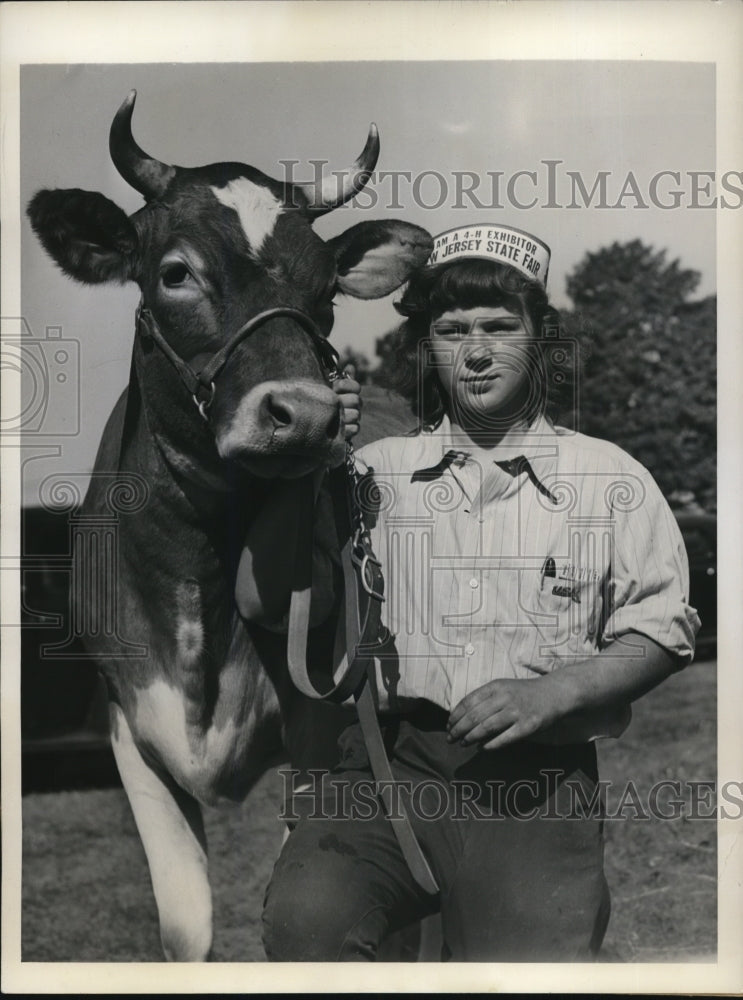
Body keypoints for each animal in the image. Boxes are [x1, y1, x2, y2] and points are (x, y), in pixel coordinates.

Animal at [29, 94, 434, 960]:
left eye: (327, 293)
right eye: (175, 272)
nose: (306, 415)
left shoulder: (321, 735)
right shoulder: (132, 732)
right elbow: (185, 931)